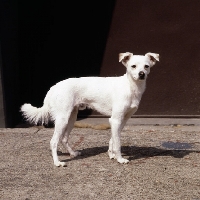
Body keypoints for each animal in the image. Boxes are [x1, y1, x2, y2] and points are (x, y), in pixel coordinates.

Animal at [20, 51, 159, 166]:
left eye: (146, 66)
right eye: (133, 66)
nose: (142, 74)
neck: (130, 86)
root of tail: (54, 87)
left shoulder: (122, 120)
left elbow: (113, 139)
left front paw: (111, 154)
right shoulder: (115, 120)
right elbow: (118, 142)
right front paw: (119, 159)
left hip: (71, 118)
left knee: (64, 139)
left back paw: (73, 153)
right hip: (62, 119)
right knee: (53, 141)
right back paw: (57, 162)